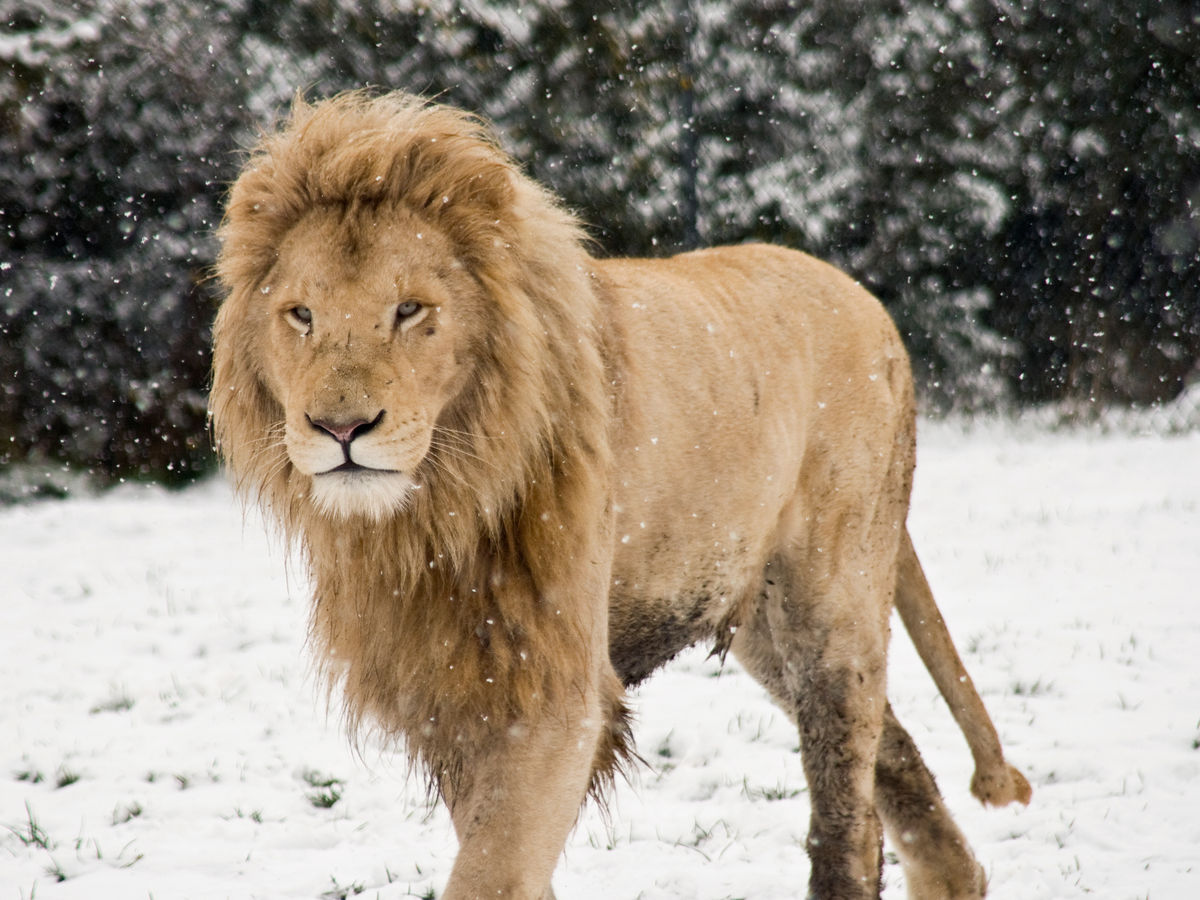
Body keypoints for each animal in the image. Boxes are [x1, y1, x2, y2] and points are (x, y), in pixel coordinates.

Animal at [211, 91, 1030, 900]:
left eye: (410, 310)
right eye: (301, 315)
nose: (340, 426)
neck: (434, 512)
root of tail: (867, 301)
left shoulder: (553, 693)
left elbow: (491, 868)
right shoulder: (454, 690)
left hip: (831, 602)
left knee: (848, 810)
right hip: (761, 621)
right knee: (895, 753)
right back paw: (957, 877)